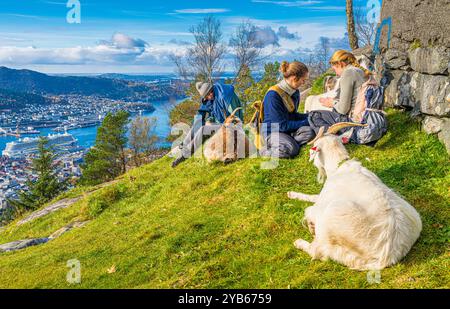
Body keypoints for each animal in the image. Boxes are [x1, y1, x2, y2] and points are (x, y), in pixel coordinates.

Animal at [288, 123, 422, 270]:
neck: (339, 167)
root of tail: (385, 258)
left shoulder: (324, 201)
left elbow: (310, 207)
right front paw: (292, 194)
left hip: (332, 216)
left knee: (317, 251)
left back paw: (299, 242)